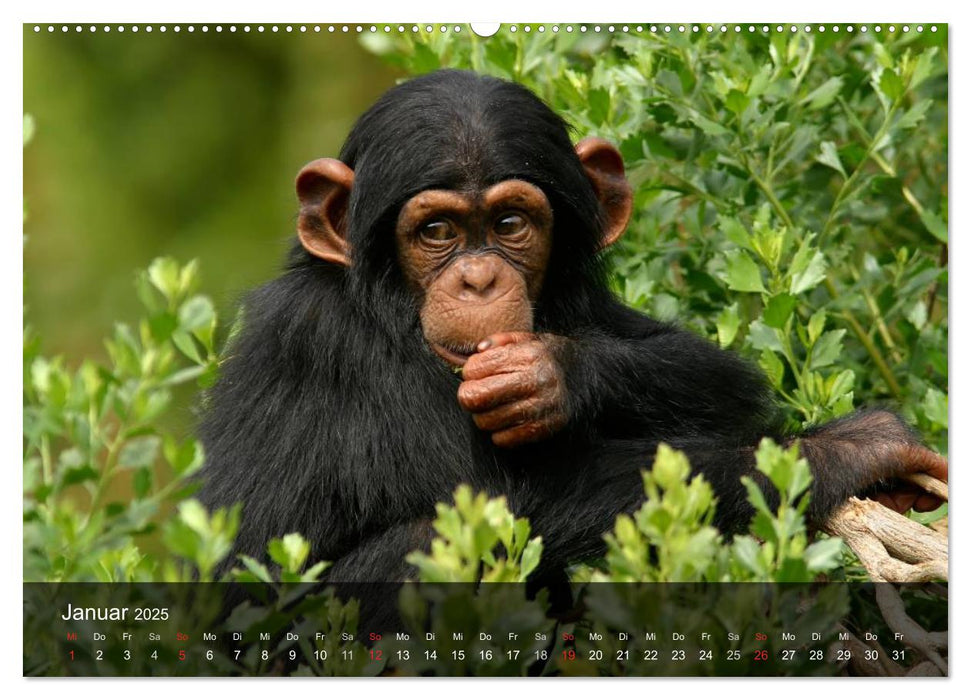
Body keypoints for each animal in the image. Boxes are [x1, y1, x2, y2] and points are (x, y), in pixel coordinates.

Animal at [197, 68, 948, 584]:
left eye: (509, 223)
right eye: (436, 232)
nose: (477, 280)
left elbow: (713, 373)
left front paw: (552, 374)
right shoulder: (328, 343)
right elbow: (490, 502)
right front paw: (848, 450)